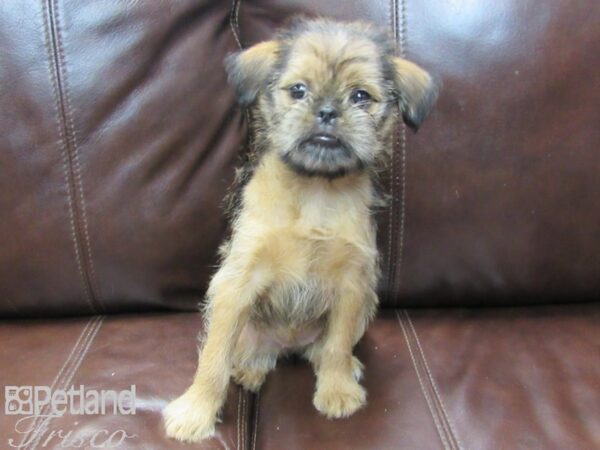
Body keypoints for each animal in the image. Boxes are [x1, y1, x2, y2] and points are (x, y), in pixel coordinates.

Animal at [163, 18, 436, 442]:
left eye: (360, 96)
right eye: (298, 91)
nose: (327, 111)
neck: (315, 192)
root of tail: (286, 345)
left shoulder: (352, 283)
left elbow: (338, 343)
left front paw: (337, 390)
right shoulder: (236, 282)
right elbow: (214, 354)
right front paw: (196, 410)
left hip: (366, 304)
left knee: (326, 348)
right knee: (245, 351)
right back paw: (249, 369)